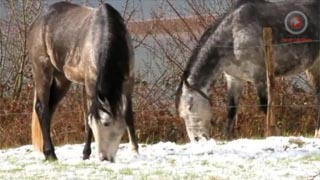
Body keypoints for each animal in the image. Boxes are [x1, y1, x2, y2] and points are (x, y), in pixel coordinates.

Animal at [26, 1, 139, 162]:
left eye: (106, 123)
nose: (104, 158)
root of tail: (37, 21)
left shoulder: (128, 82)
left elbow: (128, 114)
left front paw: (135, 150)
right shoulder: (91, 84)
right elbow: (88, 116)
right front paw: (86, 153)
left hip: (62, 79)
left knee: (50, 108)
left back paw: (46, 151)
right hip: (42, 70)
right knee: (42, 109)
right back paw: (50, 153)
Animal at [176, 0, 318, 141]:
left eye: (190, 107)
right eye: (182, 116)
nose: (196, 139)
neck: (234, 34)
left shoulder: (259, 74)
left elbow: (265, 105)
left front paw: (275, 133)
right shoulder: (234, 78)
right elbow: (231, 109)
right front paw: (227, 137)